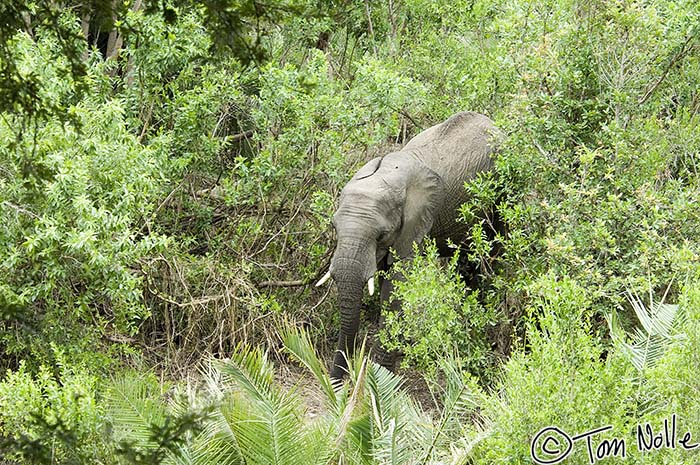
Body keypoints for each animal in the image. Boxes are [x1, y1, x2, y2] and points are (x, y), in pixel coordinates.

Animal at [314, 110, 500, 378]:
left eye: (381, 234)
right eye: (335, 227)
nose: (336, 384)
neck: (386, 172)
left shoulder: (416, 222)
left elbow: (396, 286)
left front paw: (382, 375)